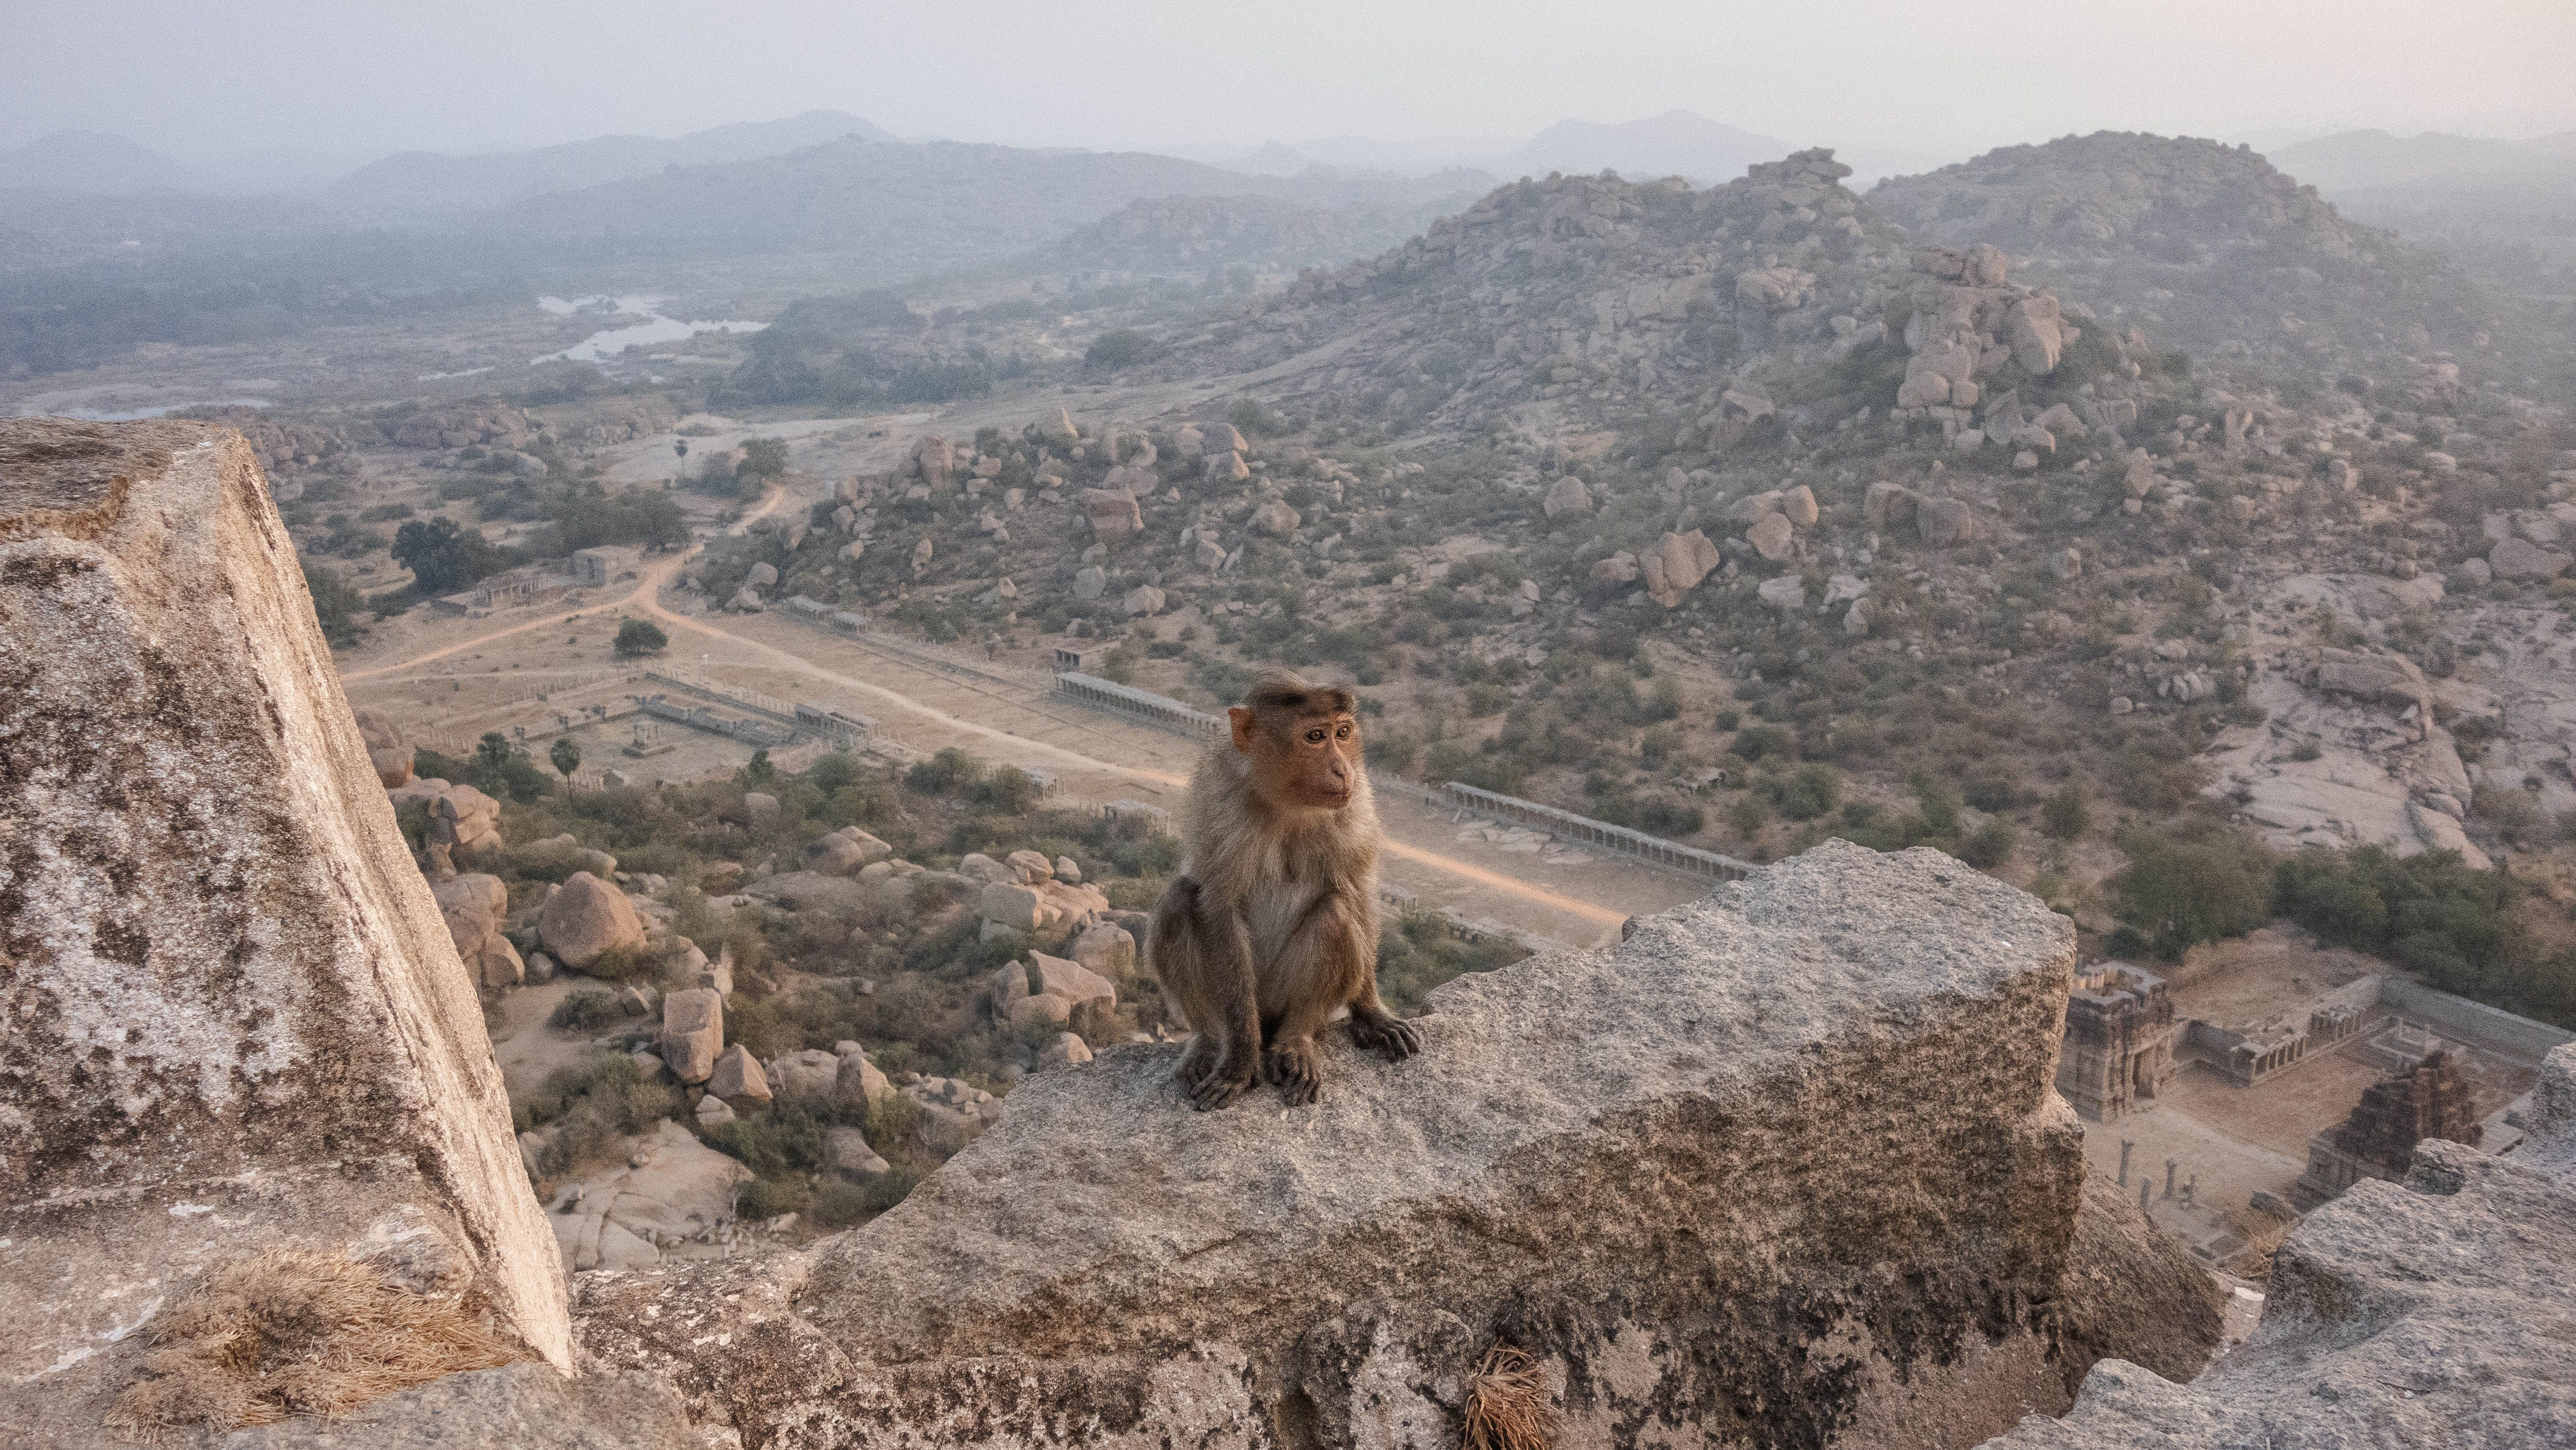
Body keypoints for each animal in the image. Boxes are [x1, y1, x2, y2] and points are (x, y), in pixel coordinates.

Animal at [1149, 669, 1421, 1109]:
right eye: (1315, 737)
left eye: (1343, 732)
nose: (1342, 770)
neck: (1288, 803)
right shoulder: (1220, 799)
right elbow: (1219, 906)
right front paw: (1240, 1061)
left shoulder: (1357, 805)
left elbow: (1358, 893)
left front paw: (1372, 1012)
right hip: (1257, 1002)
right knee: (1178, 903)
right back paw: (1210, 1041)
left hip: (1279, 1000)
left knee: (1336, 915)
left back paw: (1297, 1042)